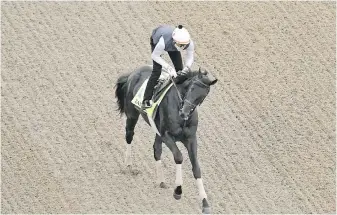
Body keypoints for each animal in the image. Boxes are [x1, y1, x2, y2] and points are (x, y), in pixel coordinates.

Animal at [114, 64, 217, 214]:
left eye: (202, 96)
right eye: (191, 88)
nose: (184, 113)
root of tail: (133, 73)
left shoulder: (191, 139)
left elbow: (196, 168)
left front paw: (205, 203)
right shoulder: (167, 135)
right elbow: (179, 157)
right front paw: (178, 191)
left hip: (156, 129)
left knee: (156, 150)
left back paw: (161, 180)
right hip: (132, 115)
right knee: (129, 136)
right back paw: (128, 165)